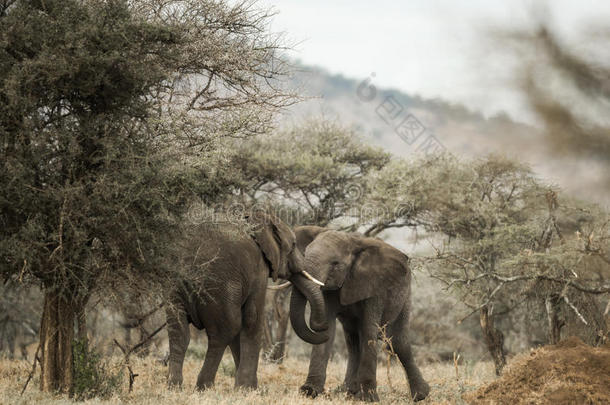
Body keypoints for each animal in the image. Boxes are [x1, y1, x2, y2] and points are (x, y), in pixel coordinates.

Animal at [164, 213, 328, 390]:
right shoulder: (259, 269)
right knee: (224, 332)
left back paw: (174, 385)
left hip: (177, 287)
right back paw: (204, 386)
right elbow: (252, 319)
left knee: (179, 331)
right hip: (217, 287)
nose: (322, 328)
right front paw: (248, 389)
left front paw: (245, 387)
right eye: (294, 244)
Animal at [288, 226, 428, 400]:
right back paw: (349, 393)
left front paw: (369, 399)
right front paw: (308, 392)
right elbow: (331, 330)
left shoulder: (375, 286)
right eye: (304, 254)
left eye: (335, 263)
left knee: (398, 342)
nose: (317, 325)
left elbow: (368, 330)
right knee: (354, 342)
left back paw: (421, 396)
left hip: (405, 295)